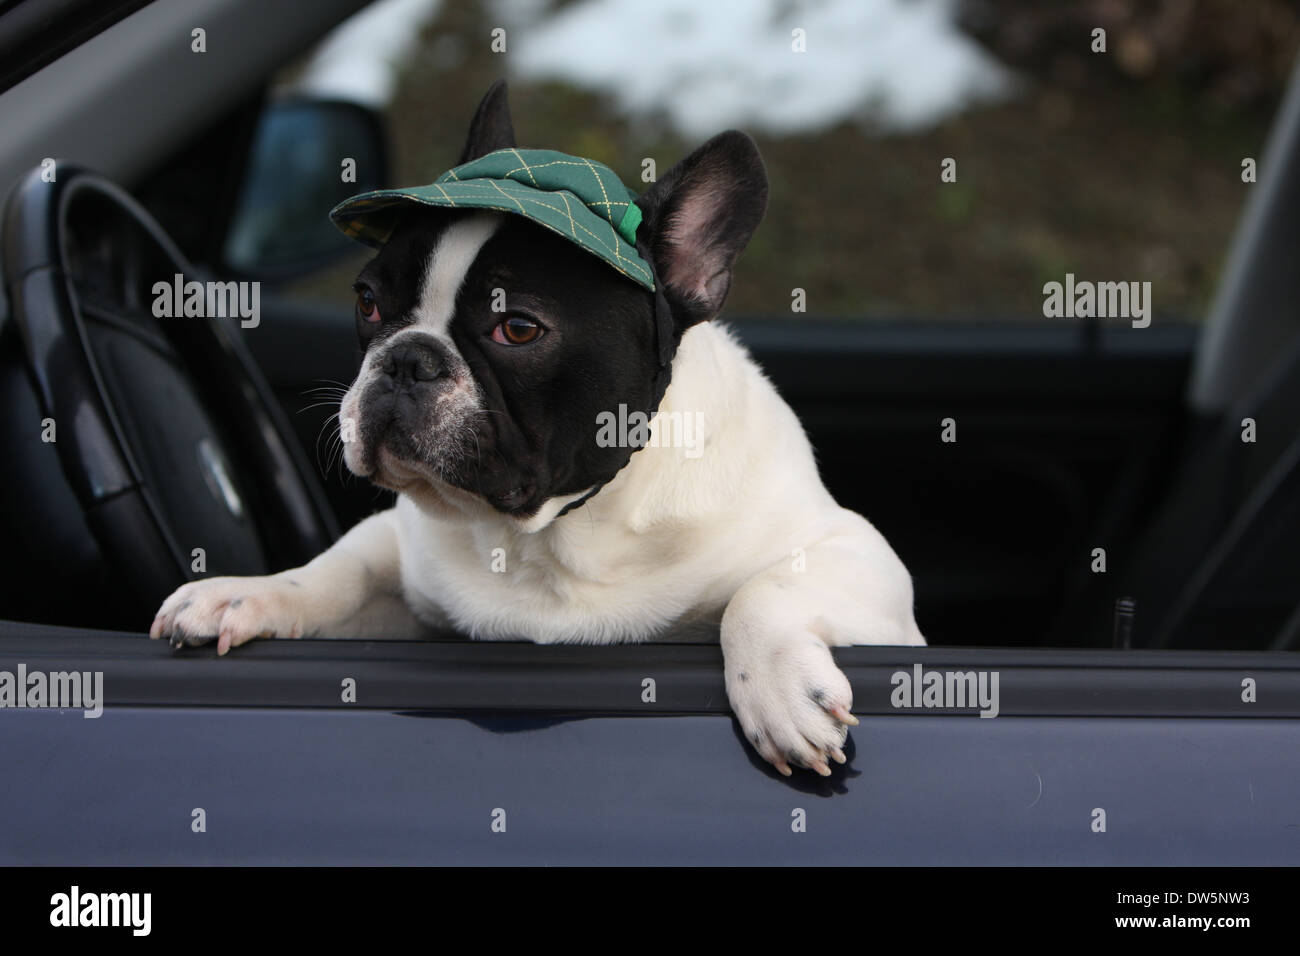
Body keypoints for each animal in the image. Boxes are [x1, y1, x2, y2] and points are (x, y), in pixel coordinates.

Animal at [154, 83, 925, 780]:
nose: (407, 358)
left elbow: (761, 594)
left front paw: (778, 693)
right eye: (369, 302)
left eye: (518, 328)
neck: (551, 537)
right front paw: (241, 593)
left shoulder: (860, 561)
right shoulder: (406, 565)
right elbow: (339, 569)